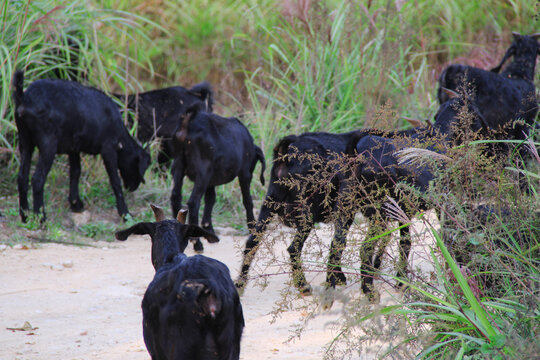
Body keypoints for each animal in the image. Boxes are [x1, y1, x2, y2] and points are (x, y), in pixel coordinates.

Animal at [11, 69, 150, 222]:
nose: (133, 187)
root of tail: (24, 98)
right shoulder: (108, 149)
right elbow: (115, 180)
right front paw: (125, 213)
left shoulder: (73, 148)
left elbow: (75, 172)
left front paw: (75, 203)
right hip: (48, 144)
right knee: (37, 179)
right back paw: (41, 218)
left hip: (25, 142)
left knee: (22, 177)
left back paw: (24, 216)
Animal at [171, 107, 266, 253]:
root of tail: (188, 122)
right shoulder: (244, 174)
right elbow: (247, 200)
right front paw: (252, 227)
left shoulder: (211, 181)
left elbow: (210, 199)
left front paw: (209, 229)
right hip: (203, 171)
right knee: (193, 202)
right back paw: (197, 243)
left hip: (178, 166)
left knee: (175, 197)